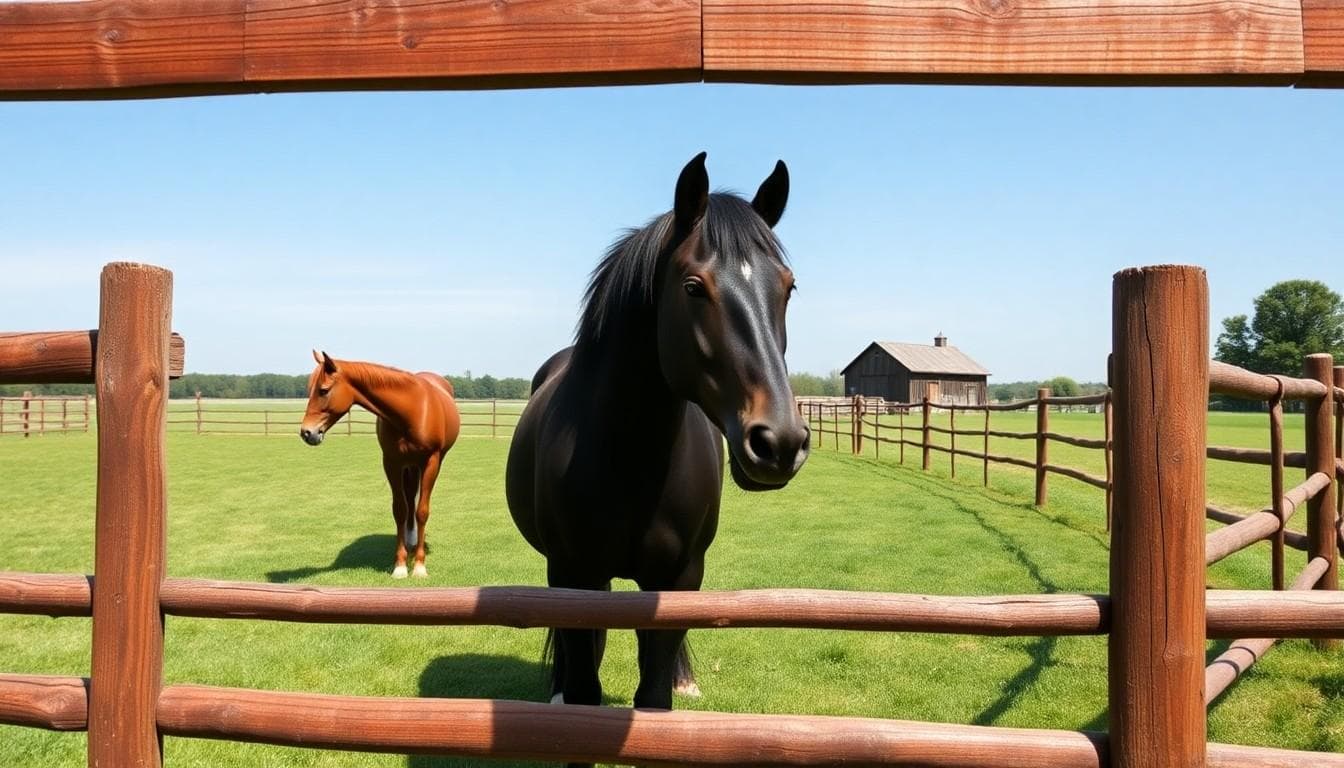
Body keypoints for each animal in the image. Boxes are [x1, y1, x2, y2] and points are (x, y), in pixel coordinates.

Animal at [300, 351, 461, 579]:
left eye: (323, 390)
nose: (307, 433)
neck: (411, 410)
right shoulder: (392, 462)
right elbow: (400, 510)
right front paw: (400, 565)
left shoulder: (431, 462)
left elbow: (422, 511)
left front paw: (419, 566)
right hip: (409, 466)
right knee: (410, 498)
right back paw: (410, 540)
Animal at [505, 153, 810, 748]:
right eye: (693, 286)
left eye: (788, 288)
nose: (780, 442)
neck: (630, 454)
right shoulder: (573, 575)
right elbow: (585, 691)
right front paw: (567, 695)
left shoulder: (679, 579)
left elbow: (654, 699)